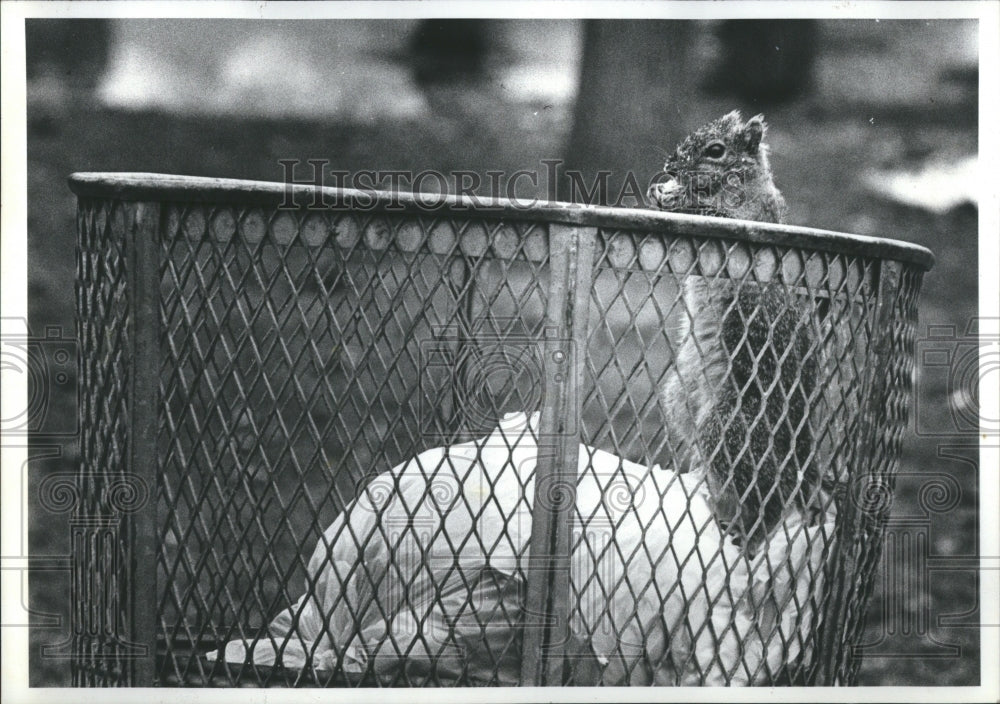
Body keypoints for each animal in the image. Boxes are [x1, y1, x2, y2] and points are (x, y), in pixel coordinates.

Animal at [648, 110, 820, 552]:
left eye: (715, 151)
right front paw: (661, 193)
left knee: (769, 498)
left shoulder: (752, 223)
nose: (670, 166)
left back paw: (751, 536)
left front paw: (678, 199)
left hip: (731, 430)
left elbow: (715, 218)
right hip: (680, 398)